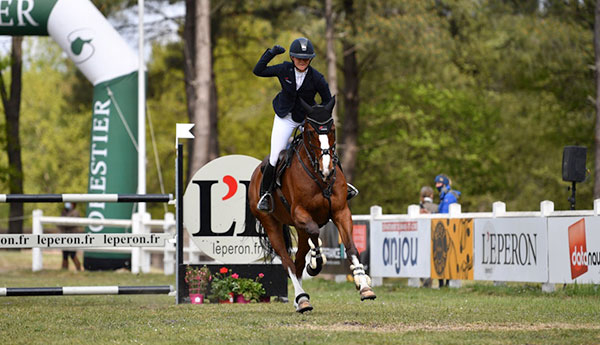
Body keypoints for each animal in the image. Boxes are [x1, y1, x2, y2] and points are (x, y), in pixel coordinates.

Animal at [248, 96, 376, 312]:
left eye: (332, 129)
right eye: (310, 132)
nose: (327, 169)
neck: (320, 178)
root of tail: (256, 173)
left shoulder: (341, 211)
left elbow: (350, 247)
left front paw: (363, 285)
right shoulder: (300, 212)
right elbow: (315, 234)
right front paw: (315, 263)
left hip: (299, 229)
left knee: (298, 260)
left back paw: (300, 299)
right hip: (271, 224)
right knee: (288, 262)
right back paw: (302, 298)